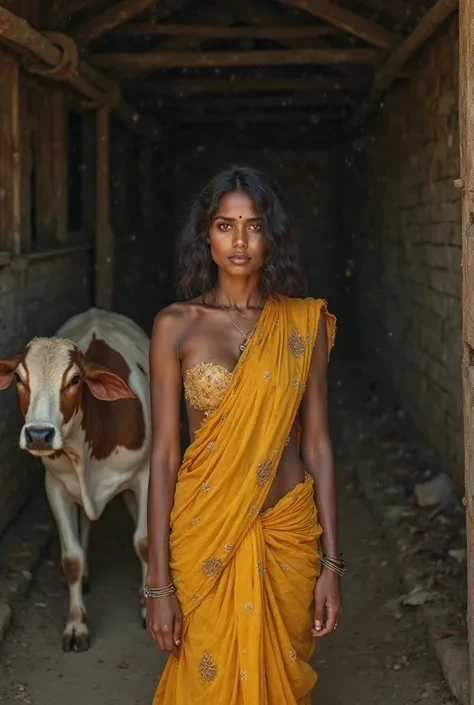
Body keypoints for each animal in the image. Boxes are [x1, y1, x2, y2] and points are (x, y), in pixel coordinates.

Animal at [0, 308, 151, 648]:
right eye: (18, 378)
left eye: (75, 379)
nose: (38, 434)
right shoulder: (55, 486)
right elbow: (71, 558)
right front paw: (76, 624)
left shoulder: (145, 475)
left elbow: (144, 541)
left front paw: (150, 610)